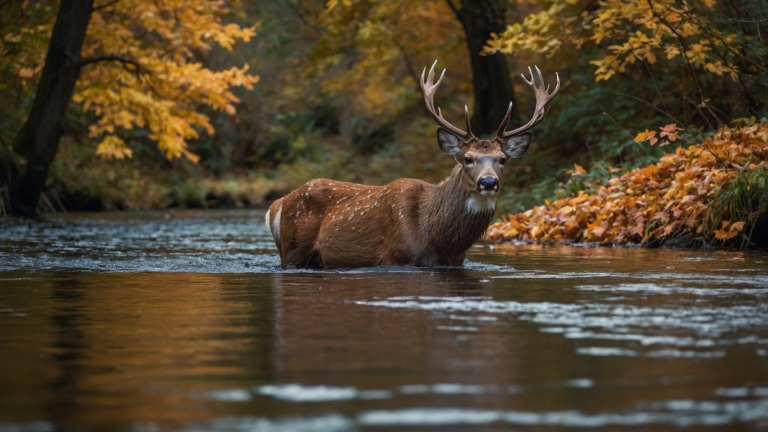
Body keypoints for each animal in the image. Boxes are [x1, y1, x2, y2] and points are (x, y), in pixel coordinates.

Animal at [265, 61, 559, 268]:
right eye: (467, 158)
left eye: (502, 159)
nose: (488, 181)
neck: (438, 237)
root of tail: (277, 204)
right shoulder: (396, 256)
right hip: (292, 250)